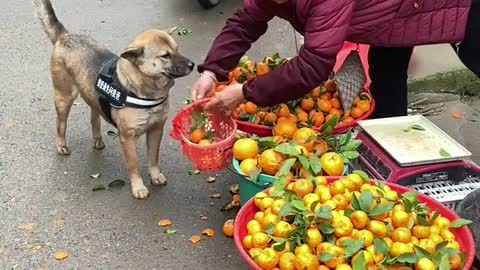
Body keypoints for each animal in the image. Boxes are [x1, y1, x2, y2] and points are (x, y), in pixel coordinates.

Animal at [33, 0, 195, 198]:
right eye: (165, 55)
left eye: (177, 49)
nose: (192, 65)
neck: (146, 90)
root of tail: (66, 36)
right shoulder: (127, 138)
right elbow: (134, 166)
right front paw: (138, 187)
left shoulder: (156, 130)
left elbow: (153, 158)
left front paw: (155, 175)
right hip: (63, 98)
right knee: (60, 124)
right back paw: (61, 145)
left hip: (92, 96)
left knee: (94, 116)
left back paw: (97, 139)